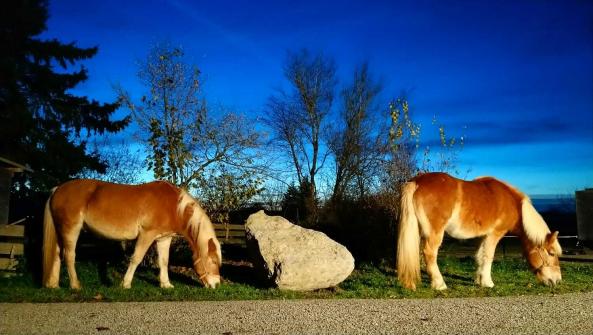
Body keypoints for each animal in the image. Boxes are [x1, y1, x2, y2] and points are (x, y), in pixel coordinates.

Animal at [41, 180, 222, 290]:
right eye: (213, 261)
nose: (217, 284)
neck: (173, 206)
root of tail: (57, 189)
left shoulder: (164, 238)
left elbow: (164, 261)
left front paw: (166, 284)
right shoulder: (147, 235)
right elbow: (136, 258)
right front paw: (125, 284)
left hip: (61, 231)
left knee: (57, 254)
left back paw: (53, 285)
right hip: (71, 229)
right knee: (69, 256)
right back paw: (75, 285)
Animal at [398, 173, 560, 292]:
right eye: (551, 253)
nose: (557, 280)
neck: (514, 205)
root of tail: (417, 182)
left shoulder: (483, 236)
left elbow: (479, 256)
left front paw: (479, 280)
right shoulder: (495, 234)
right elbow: (488, 257)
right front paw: (488, 283)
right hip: (435, 233)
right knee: (429, 254)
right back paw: (440, 284)